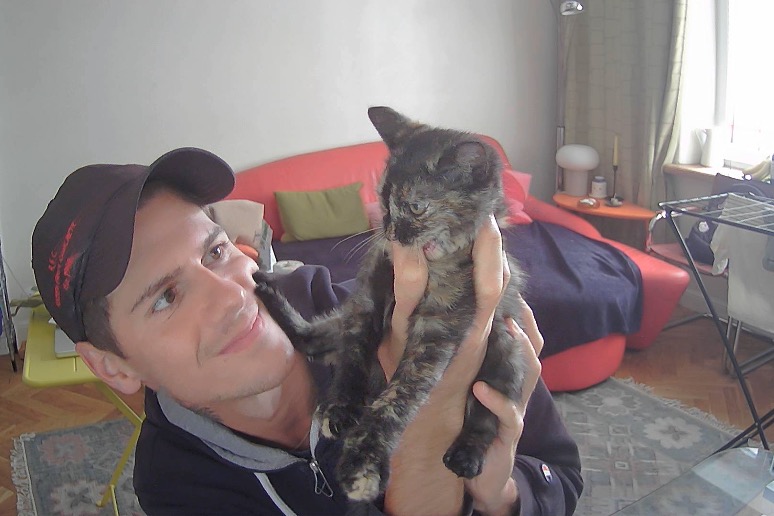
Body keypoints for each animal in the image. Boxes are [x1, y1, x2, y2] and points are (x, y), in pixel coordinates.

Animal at [254, 106, 527, 502]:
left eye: (416, 207)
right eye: (383, 200)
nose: (391, 231)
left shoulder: (438, 329)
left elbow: (400, 397)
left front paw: (363, 463)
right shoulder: (367, 298)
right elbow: (353, 356)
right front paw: (341, 408)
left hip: (506, 350)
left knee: (486, 415)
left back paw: (466, 454)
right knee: (311, 339)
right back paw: (265, 288)